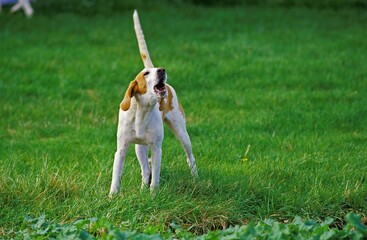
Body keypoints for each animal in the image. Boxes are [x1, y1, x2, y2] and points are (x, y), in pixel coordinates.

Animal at [110, 10, 198, 195]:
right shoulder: (121, 150)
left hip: (182, 134)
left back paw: (196, 179)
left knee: (190, 158)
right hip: (139, 147)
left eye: (157, 71)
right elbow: (116, 177)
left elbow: (155, 178)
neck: (142, 111)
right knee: (145, 170)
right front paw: (112, 196)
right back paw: (142, 187)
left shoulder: (157, 149)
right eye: (146, 74)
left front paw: (153, 195)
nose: (162, 70)